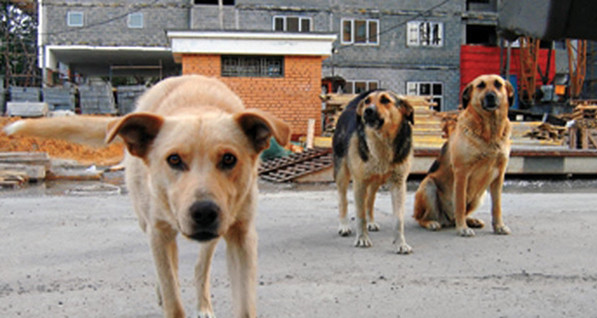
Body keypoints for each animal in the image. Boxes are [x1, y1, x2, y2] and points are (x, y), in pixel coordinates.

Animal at [5, 75, 290, 318]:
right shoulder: (158, 232)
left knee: (199, 266)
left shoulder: (242, 234)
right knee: (169, 268)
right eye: (173, 159)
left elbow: (244, 306)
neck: (197, 106)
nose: (204, 212)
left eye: (229, 159)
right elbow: (173, 300)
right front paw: (168, 296)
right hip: (150, 223)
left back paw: (203, 304)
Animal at [332, 89, 412, 253]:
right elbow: (360, 215)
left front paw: (401, 243)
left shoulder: (399, 183)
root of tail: (349, 108)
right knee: (343, 200)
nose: (367, 111)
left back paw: (371, 222)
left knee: (370, 200)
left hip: (376, 181)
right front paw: (362, 239)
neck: (382, 142)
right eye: (367, 101)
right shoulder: (359, 183)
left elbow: (398, 219)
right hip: (342, 172)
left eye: (385, 100)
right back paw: (344, 225)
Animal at [414, 74, 512, 237]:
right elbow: (459, 204)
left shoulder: (499, 176)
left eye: (498, 84)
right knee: (422, 218)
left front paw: (499, 226)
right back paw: (432, 223)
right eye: (481, 85)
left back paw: (471, 220)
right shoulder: (462, 173)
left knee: (463, 213)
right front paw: (463, 228)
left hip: (480, 195)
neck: (489, 133)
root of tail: (446, 219)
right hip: (428, 185)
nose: (491, 96)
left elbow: (497, 206)